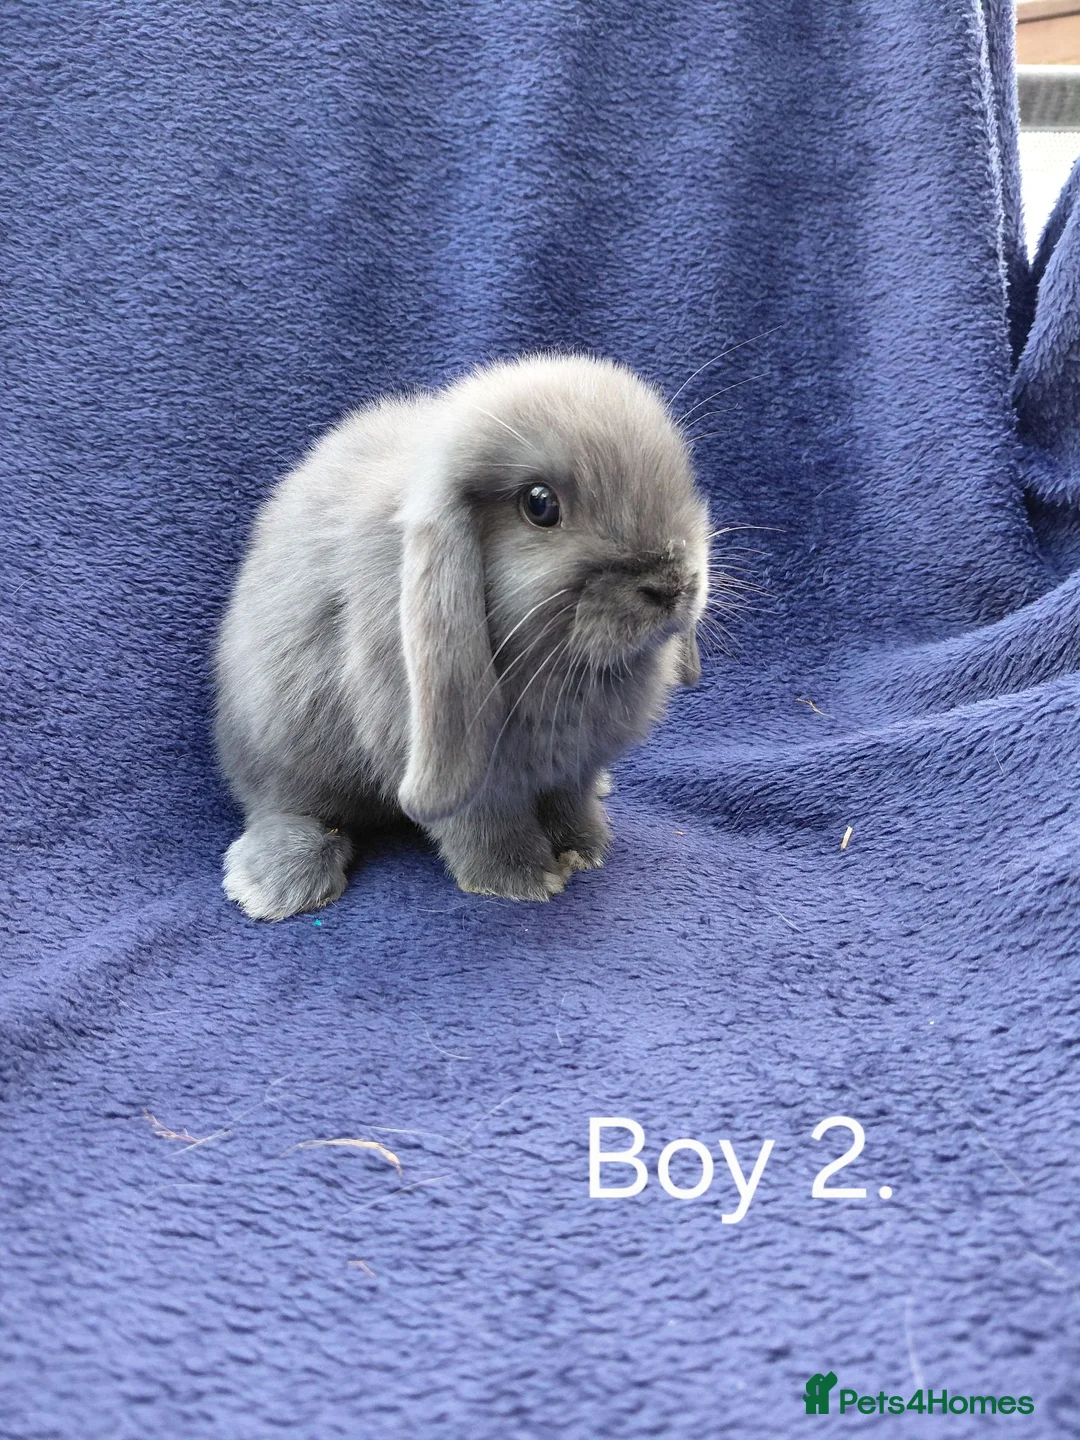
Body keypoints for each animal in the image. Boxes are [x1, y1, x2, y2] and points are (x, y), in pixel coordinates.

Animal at [214, 353, 710, 919]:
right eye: (540, 505)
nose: (673, 584)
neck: (566, 665)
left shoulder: (572, 765)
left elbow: (572, 799)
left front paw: (586, 849)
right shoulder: (468, 772)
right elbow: (483, 824)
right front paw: (523, 880)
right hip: (288, 750)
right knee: (284, 807)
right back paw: (279, 885)